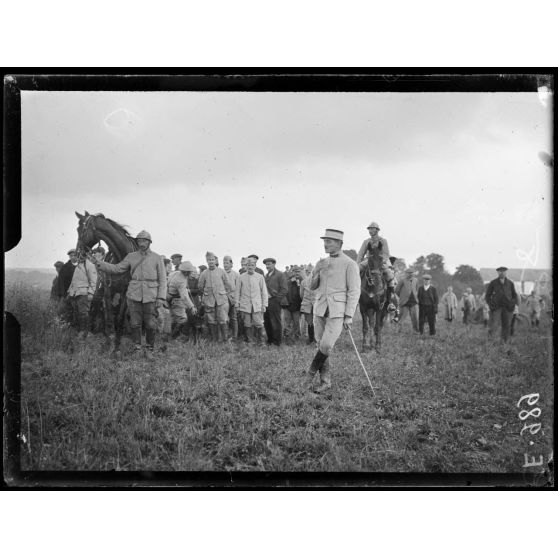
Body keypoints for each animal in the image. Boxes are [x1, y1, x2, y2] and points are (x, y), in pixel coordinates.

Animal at [75, 211, 138, 350]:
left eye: (81, 230)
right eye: (77, 229)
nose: (77, 254)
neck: (122, 258)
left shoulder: (126, 293)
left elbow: (120, 318)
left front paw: (117, 346)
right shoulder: (109, 290)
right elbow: (109, 317)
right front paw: (108, 344)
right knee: (95, 310)